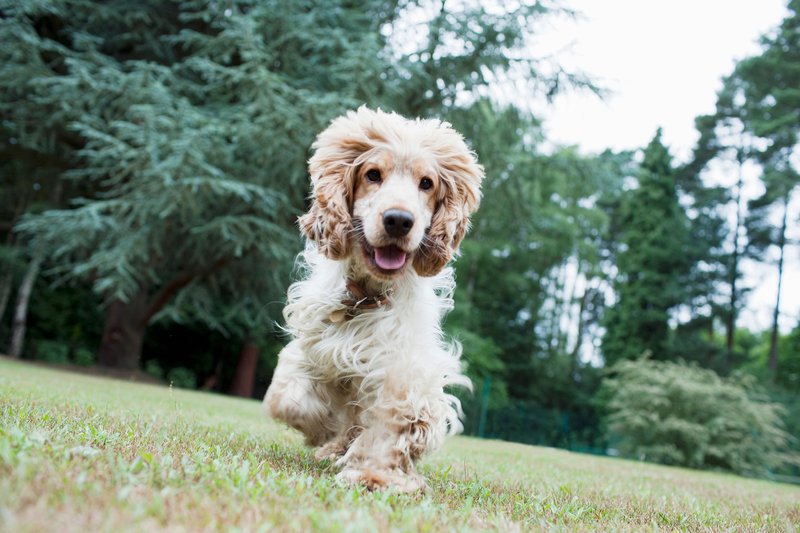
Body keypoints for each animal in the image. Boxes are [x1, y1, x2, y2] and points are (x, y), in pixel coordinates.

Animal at [266, 105, 484, 490]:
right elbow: (288, 398)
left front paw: (374, 474)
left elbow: (391, 421)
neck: (366, 296)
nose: (398, 220)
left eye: (426, 183)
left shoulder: (403, 369)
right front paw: (325, 433)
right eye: (373, 174)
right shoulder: (312, 347)